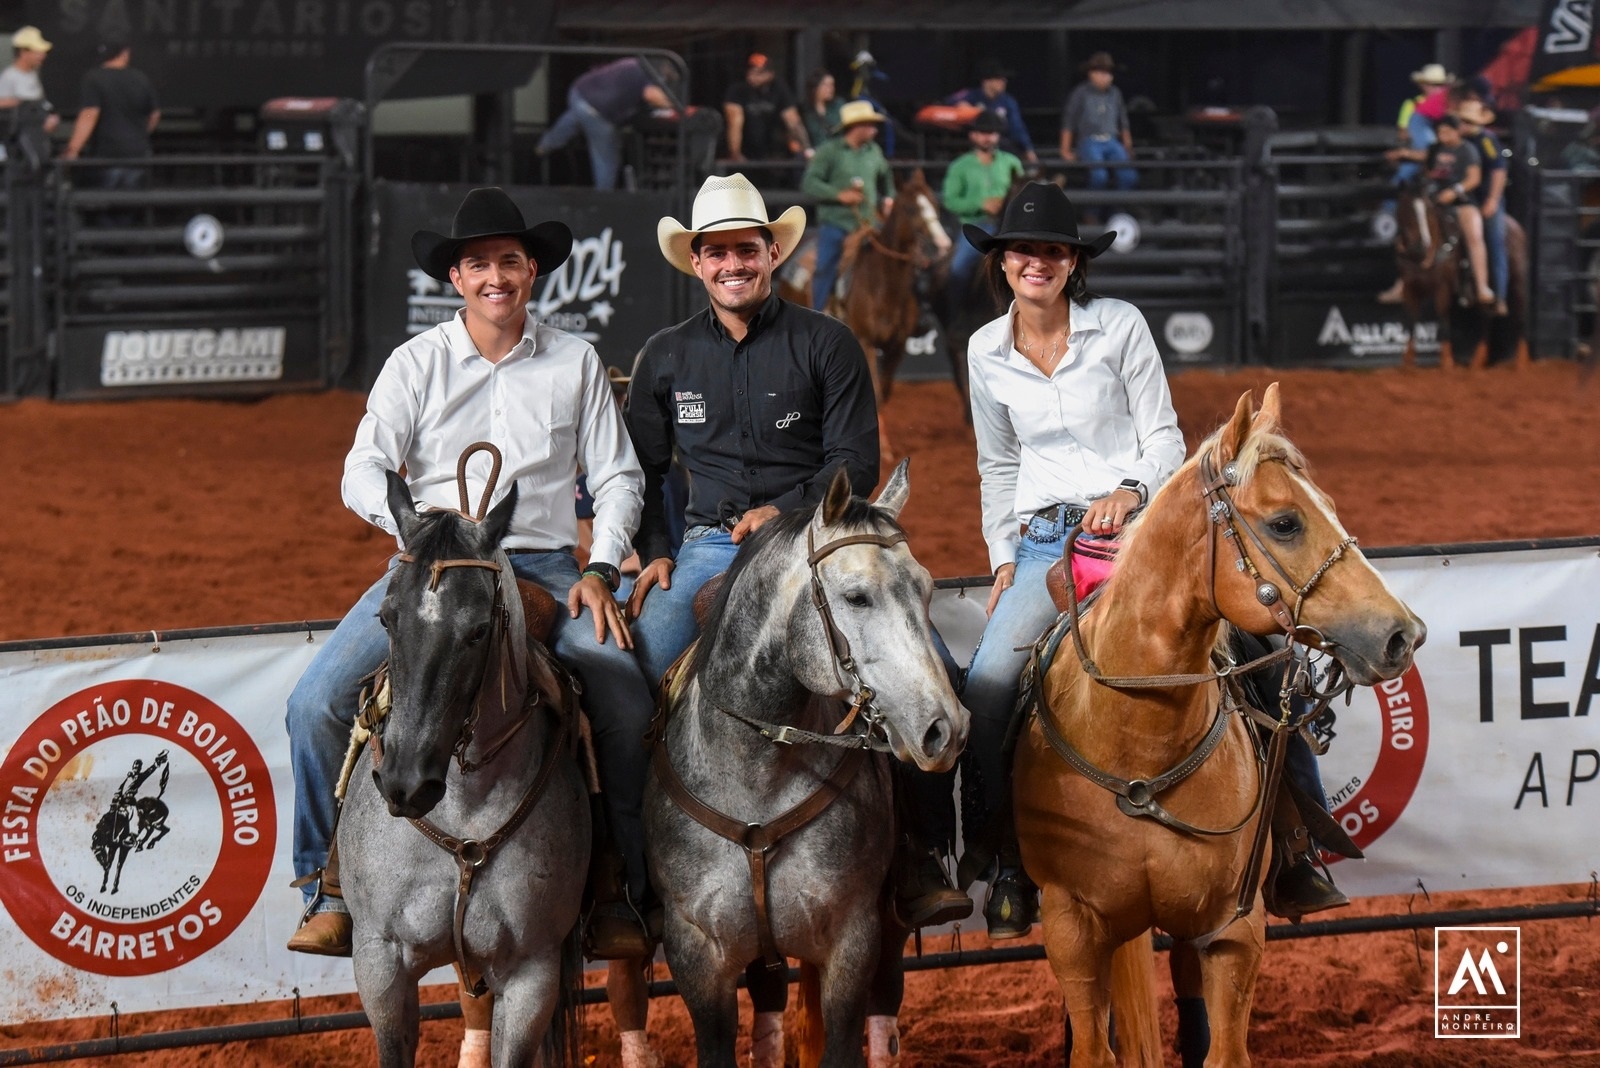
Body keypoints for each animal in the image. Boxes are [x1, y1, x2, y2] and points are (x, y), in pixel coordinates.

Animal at [340, 466, 592, 1068]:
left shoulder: (532, 975)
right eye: (386, 618)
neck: (465, 808)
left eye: (478, 630)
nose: (405, 784)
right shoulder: (379, 962)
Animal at [643, 460, 966, 1068]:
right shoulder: (697, 959)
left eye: (929, 587)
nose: (947, 728)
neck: (757, 777)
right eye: (857, 596)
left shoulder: (851, 943)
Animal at [1011, 385, 1427, 1068]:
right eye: (1285, 522)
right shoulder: (1071, 928)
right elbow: (1092, 1046)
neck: (1137, 744)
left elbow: (1223, 1047)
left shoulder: (1234, 928)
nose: (1402, 635)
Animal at [1395, 181, 1529, 369]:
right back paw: (1477, 361)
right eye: (1405, 207)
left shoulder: (1442, 288)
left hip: (1518, 283)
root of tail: (1516, 227)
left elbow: (1443, 319)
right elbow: (1411, 322)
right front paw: (1407, 363)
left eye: (1428, 210)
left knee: (1520, 317)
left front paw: (1447, 362)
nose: (1420, 246)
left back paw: (1521, 362)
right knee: (1486, 318)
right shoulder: (1410, 288)